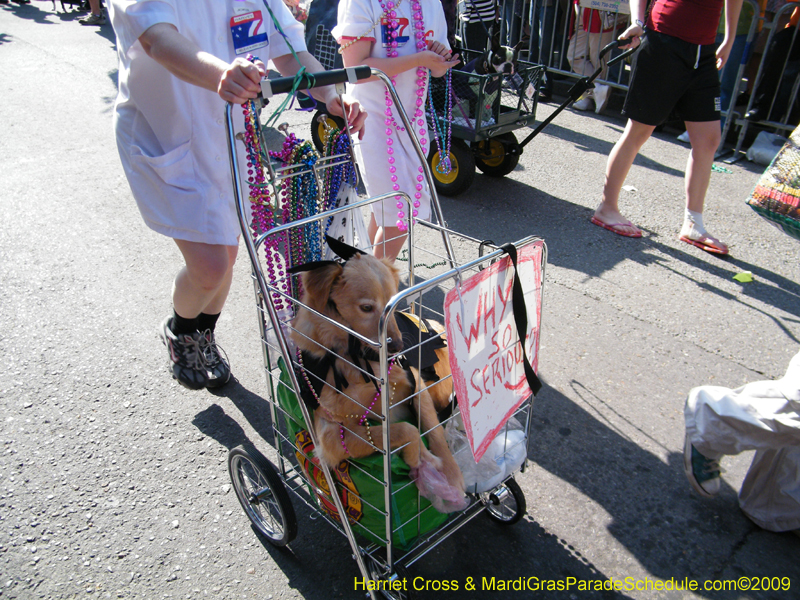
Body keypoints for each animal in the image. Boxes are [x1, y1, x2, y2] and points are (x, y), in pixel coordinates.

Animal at [290, 253, 462, 492]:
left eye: (393, 300)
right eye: (366, 307)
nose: (398, 347)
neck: (357, 358)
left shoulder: (416, 384)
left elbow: (434, 430)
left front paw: (451, 473)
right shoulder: (329, 436)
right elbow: (407, 429)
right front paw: (420, 458)